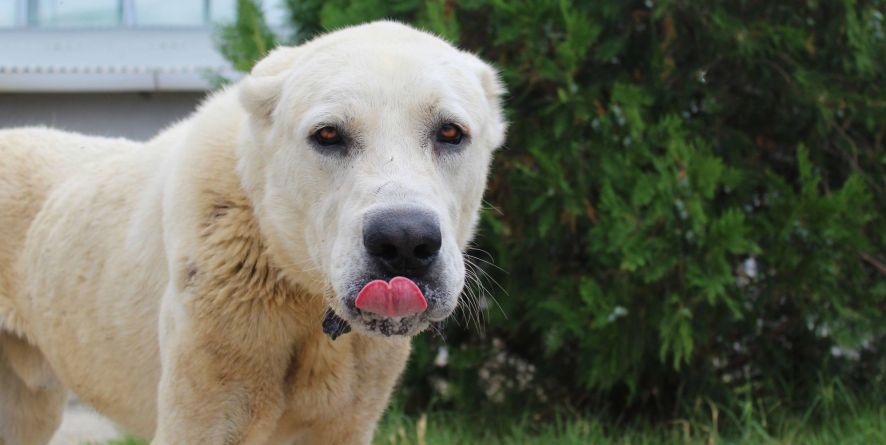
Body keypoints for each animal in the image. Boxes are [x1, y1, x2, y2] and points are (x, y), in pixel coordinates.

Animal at [0, 21, 506, 444]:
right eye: (327, 135)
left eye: (450, 133)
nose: (402, 241)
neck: (302, 298)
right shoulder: (207, 407)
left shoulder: (346, 420)